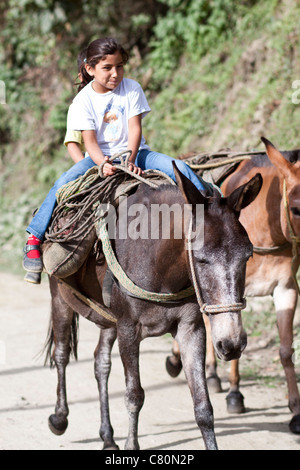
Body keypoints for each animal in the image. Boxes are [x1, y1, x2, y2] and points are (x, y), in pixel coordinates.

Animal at [43, 163, 262, 450]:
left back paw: (107, 436)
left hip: (108, 320)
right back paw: (60, 417)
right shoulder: (128, 330)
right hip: (60, 297)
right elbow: (134, 395)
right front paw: (131, 445)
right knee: (61, 353)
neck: (160, 264)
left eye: (247, 256)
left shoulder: (191, 329)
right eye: (201, 259)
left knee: (100, 363)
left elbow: (203, 406)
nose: (232, 343)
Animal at [166, 138, 300, 436]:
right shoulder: (233, 289)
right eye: (297, 208)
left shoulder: (286, 289)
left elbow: (286, 350)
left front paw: (296, 410)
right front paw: (235, 394)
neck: (267, 227)